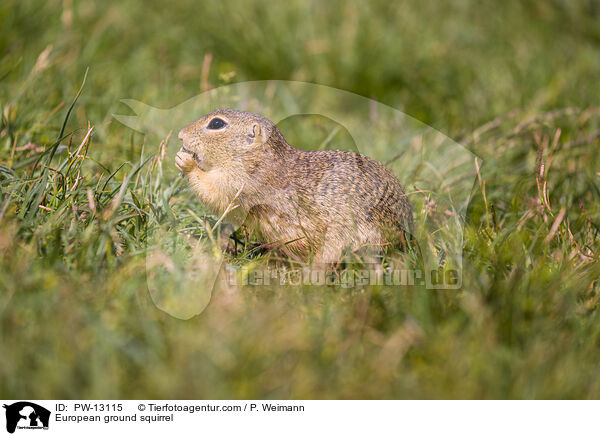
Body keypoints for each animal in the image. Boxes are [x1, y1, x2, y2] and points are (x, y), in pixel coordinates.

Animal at [175, 109, 412, 262]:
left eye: (216, 124)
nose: (179, 134)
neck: (255, 158)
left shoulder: (241, 183)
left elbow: (217, 195)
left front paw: (185, 162)